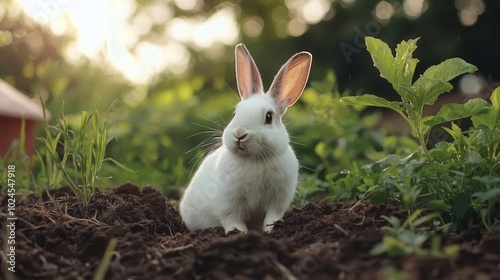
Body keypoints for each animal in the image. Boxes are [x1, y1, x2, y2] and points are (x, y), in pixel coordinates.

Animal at [180, 43, 312, 233]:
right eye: (235, 113)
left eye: (269, 117)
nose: (239, 134)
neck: (254, 159)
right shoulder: (229, 204)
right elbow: (233, 222)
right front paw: (240, 234)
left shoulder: (277, 201)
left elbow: (272, 218)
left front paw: (269, 231)